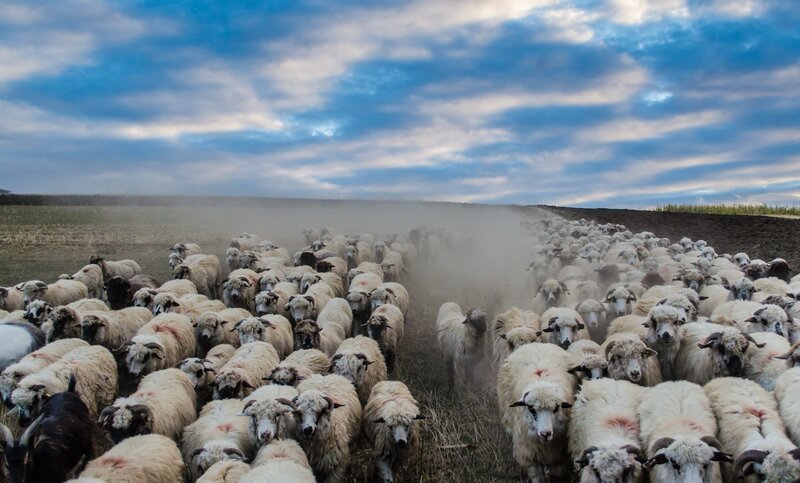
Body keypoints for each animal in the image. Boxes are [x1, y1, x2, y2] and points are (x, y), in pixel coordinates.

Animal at [497, 343, 578, 481]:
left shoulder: (559, 456)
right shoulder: (528, 456)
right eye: (531, 408)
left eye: (556, 408)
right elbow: (537, 476)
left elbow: (555, 472)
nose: (545, 434)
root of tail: (536, 344)